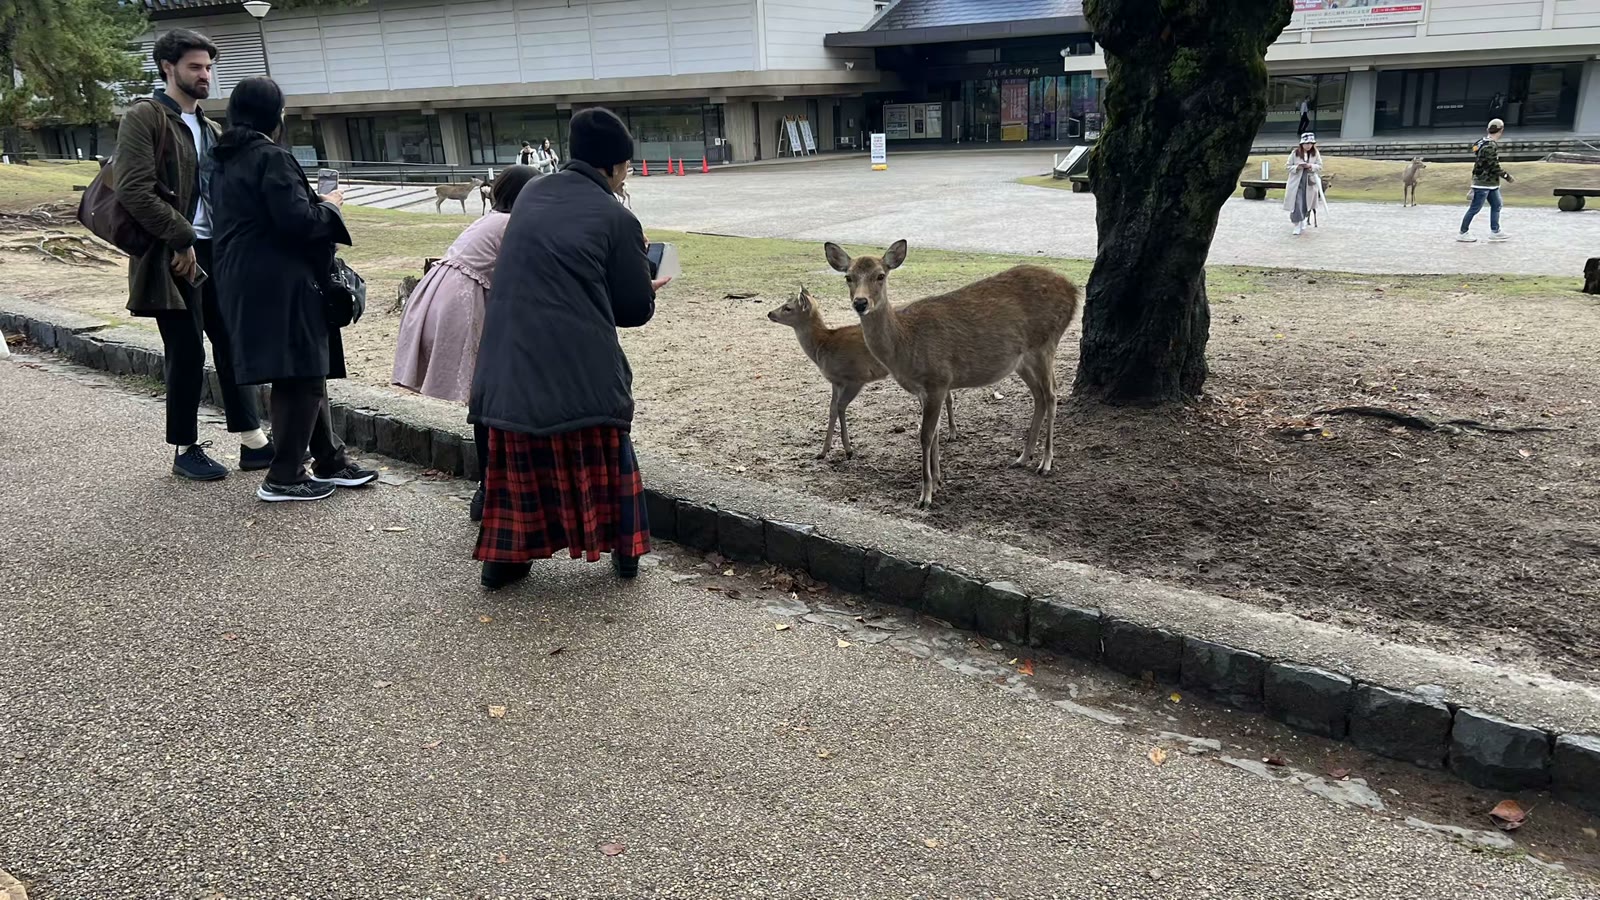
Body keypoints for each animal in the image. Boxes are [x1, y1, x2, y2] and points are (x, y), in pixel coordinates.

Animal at [767, 286, 955, 460]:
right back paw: (951, 432)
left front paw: (848, 450)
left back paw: (952, 433)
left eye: (787, 307)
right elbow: (832, 409)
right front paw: (822, 452)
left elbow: (841, 406)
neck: (823, 345)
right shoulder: (836, 382)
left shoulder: (856, 377)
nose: (769, 313)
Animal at [825, 240, 1080, 509]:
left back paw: (1045, 463)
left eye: (880, 275)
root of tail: (1074, 291)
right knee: (1039, 396)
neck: (905, 342)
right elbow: (935, 433)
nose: (860, 303)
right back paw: (1022, 457)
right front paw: (938, 481)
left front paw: (925, 495)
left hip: (1046, 343)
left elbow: (925, 435)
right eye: (848, 277)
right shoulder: (924, 389)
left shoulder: (938, 379)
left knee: (1052, 394)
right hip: (1022, 360)